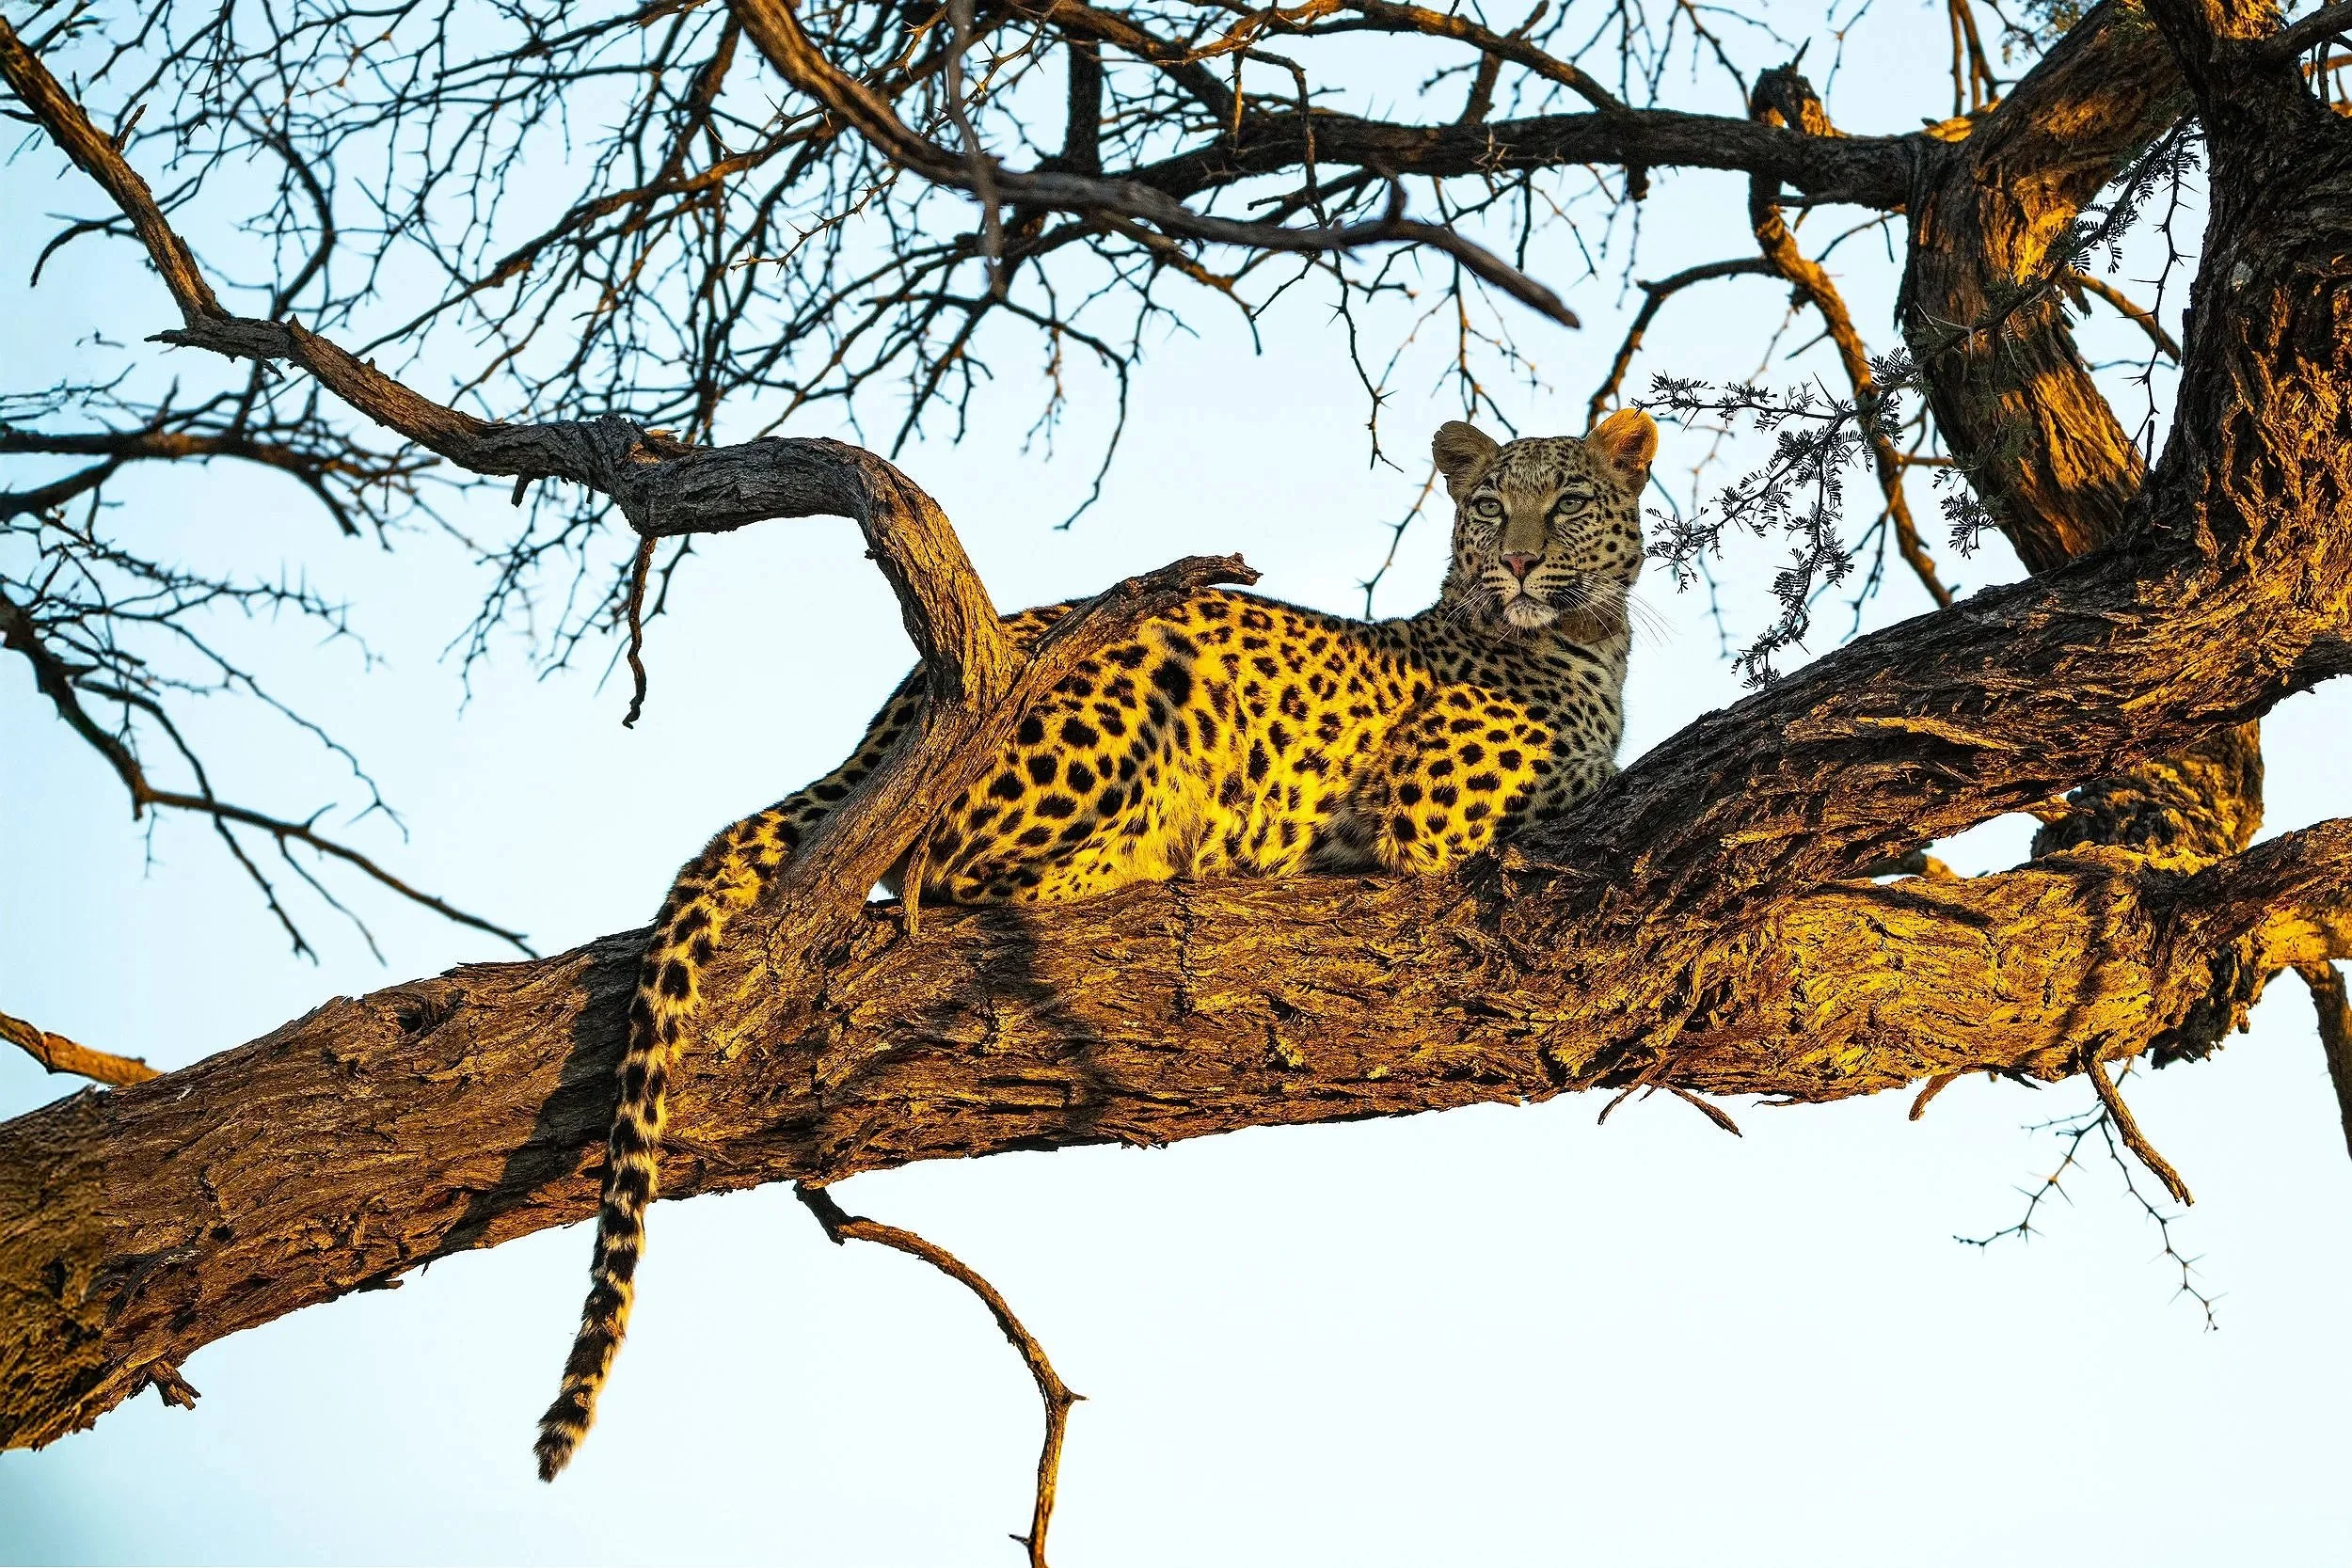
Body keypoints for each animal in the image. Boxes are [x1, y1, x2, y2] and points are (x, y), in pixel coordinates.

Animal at [534, 407, 1659, 1479]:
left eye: (1565, 502)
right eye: (1487, 508)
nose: (1518, 561)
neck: (1591, 646)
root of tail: (893, 719)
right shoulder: (1431, 825)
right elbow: (1580, 782)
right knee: (964, 879)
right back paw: (1184, 857)